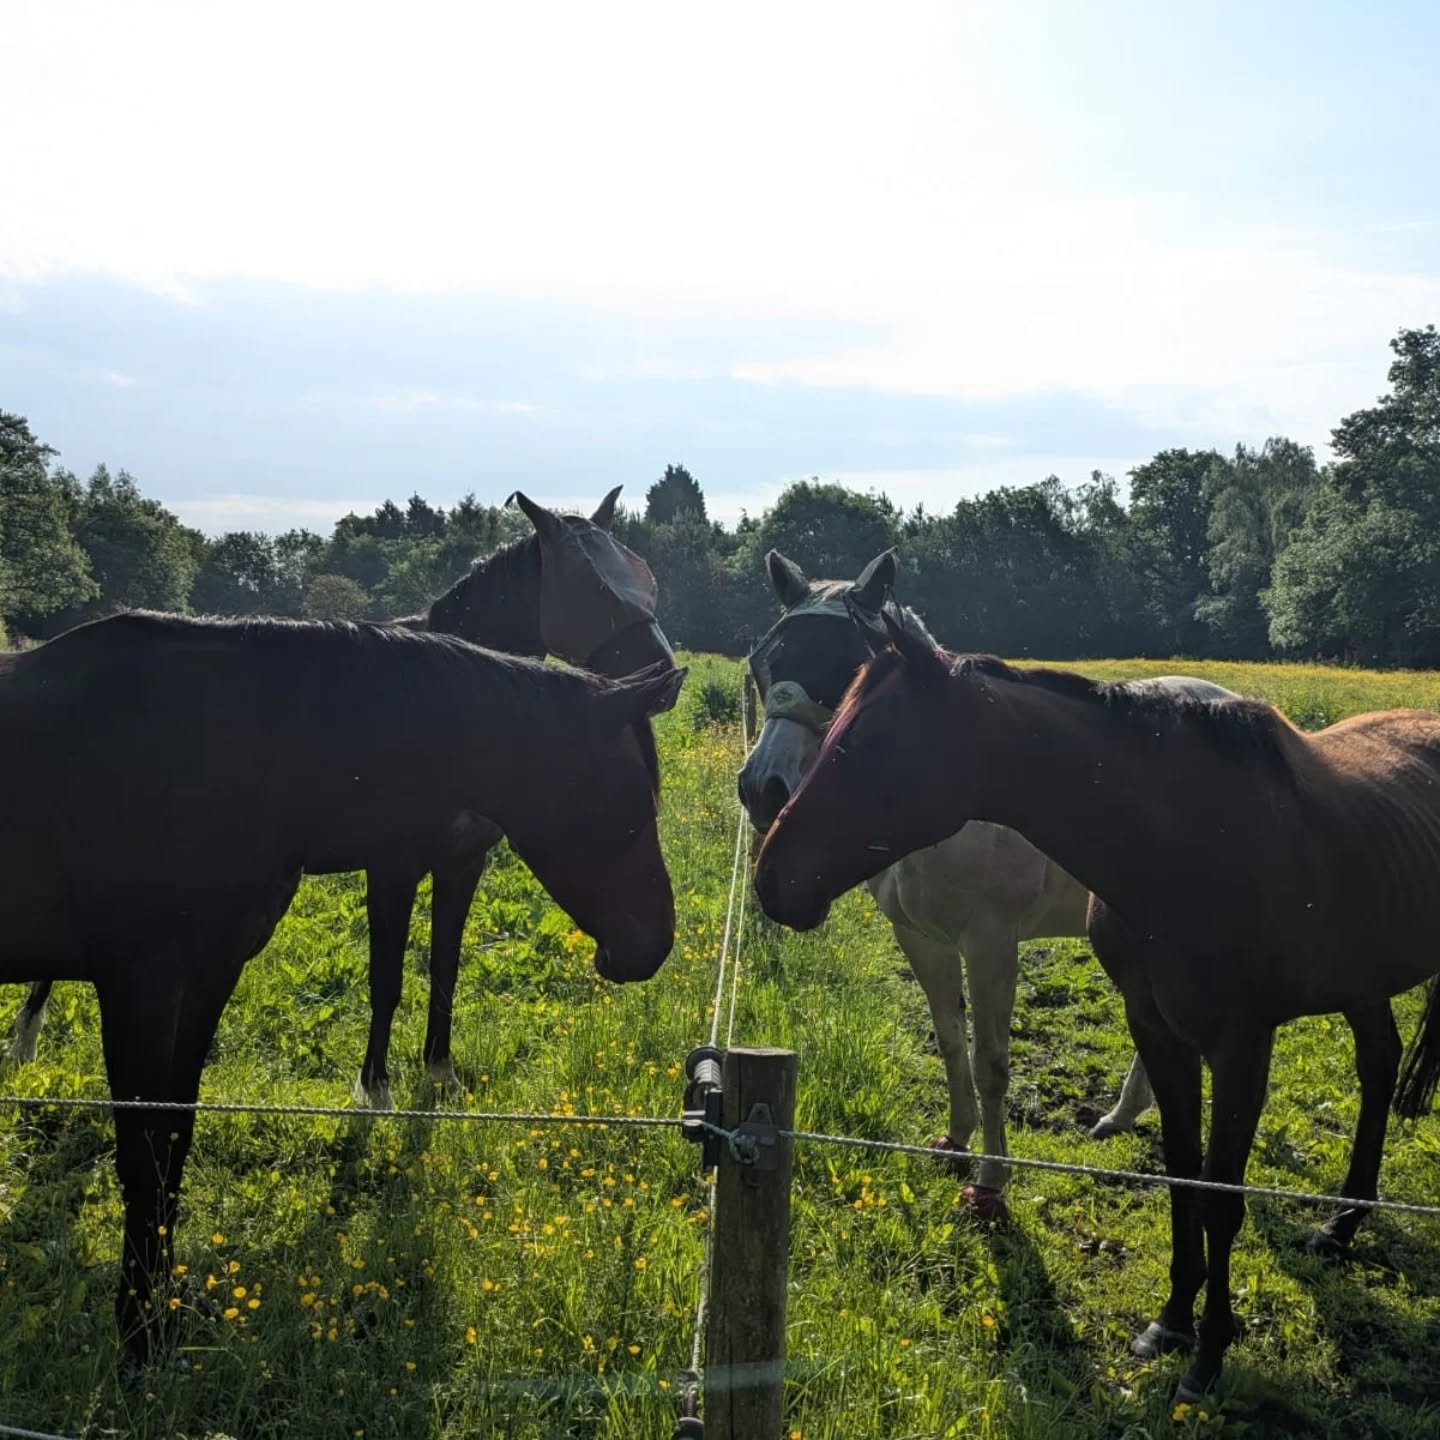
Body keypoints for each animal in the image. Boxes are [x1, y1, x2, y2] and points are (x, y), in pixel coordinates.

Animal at [0, 610, 683, 1362]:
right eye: (628, 801)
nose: (652, 944)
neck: (224, 753)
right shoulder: (141, 984)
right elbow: (144, 1156)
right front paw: (140, 1335)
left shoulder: (208, 975)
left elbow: (175, 1138)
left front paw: (163, 1318)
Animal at [8, 487, 677, 1111]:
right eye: (591, 585)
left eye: (645, 576)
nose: (665, 677)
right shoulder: (393, 865)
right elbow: (386, 979)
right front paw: (375, 1088)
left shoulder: (463, 862)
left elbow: (445, 966)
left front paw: (440, 1072)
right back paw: (25, 1037)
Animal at [736, 548, 1230, 1217]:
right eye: (765, 662)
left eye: (846, 666)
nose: (762, 790)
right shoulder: (921, 938)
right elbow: (949, 1041)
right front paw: (955, 1141)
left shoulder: (991, 944)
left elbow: (990, 1062)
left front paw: (991, 1185)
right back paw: (1121, 1116)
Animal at [753, 600, 1440, 1403]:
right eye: (768, 663)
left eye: (867, 743)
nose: (772, 875)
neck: (1189, 844)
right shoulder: (1150, 1022)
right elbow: (1181, 1174)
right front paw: (1170, 1324)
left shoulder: (1240, 1044)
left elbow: (1218, 1195)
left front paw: (1208, 1355)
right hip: (1361, 979)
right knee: (1379, 1065)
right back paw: (1340, 1225)